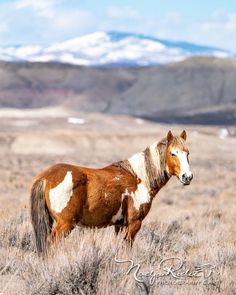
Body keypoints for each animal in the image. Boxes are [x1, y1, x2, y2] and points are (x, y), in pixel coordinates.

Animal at [30, 131, 192, 256]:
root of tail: (45, 177)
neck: (138, 177)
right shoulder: (134, 223)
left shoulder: (119, 225)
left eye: (187, 153)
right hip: (64, 225)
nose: (187, 177)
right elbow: (126, 248)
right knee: (50, 244)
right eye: (172, 153)